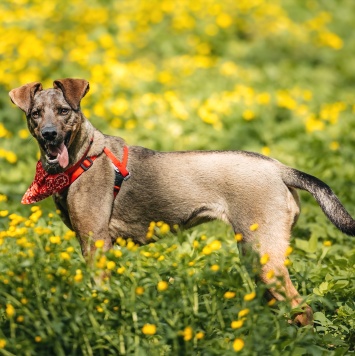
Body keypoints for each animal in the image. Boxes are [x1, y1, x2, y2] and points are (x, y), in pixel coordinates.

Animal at [8, 78, 355, 326]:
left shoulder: (94, 242)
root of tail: (280, 168)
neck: (83, 158)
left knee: (302, 310)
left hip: (264, 255)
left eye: (64, 111)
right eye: (35, 114)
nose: (49, 134)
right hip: (254, 254)